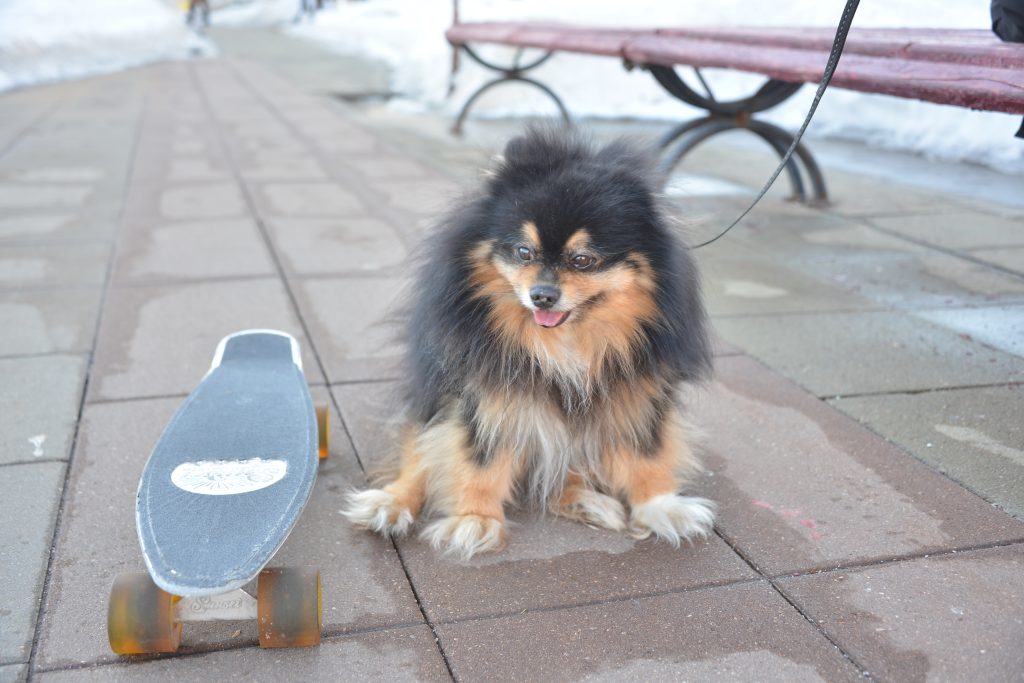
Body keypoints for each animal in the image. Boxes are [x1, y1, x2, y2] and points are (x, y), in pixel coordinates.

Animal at [344, 127, 712, 561]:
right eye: (524, 251)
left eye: (583, 259)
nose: (542, 295)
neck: (566, 342)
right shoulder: (482, 393)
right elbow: (479, 458)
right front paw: (476, 518)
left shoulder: (638, 390)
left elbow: (647, 451)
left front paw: (660, 504)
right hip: (435, 398)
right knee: (420, 456)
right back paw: (391, 503)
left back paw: (587, 500)